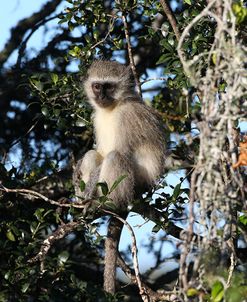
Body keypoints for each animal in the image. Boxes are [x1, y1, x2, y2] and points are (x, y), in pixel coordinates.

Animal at [72, 60, 167, 294]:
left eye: (109, 86)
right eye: (97, 86)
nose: (101, 96)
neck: (112, 108)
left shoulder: (127, 118)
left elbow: (119, 152)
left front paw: (88, 196)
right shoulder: (96, 117)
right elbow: (99, 152)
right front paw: (78, 182)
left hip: (134, 185)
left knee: (115, 157)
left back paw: (102, 203)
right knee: (94, 155)